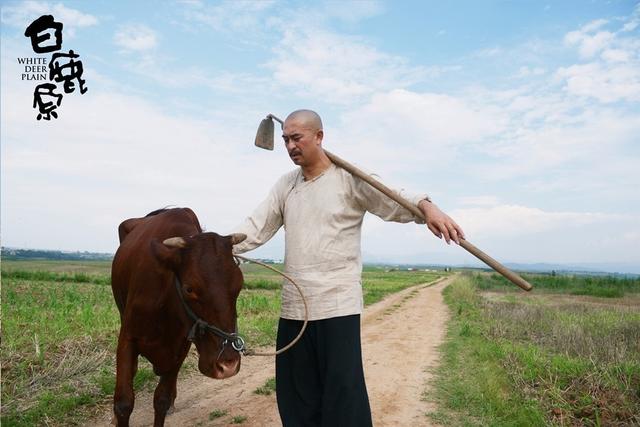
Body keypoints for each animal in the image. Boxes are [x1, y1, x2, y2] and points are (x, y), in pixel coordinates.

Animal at [110, 209, 245, 426]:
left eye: (239, 285)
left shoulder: (180, 347)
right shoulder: (127, 338)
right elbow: (124, 403)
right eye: (189, 289)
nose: (228, 365)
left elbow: (161, 400)